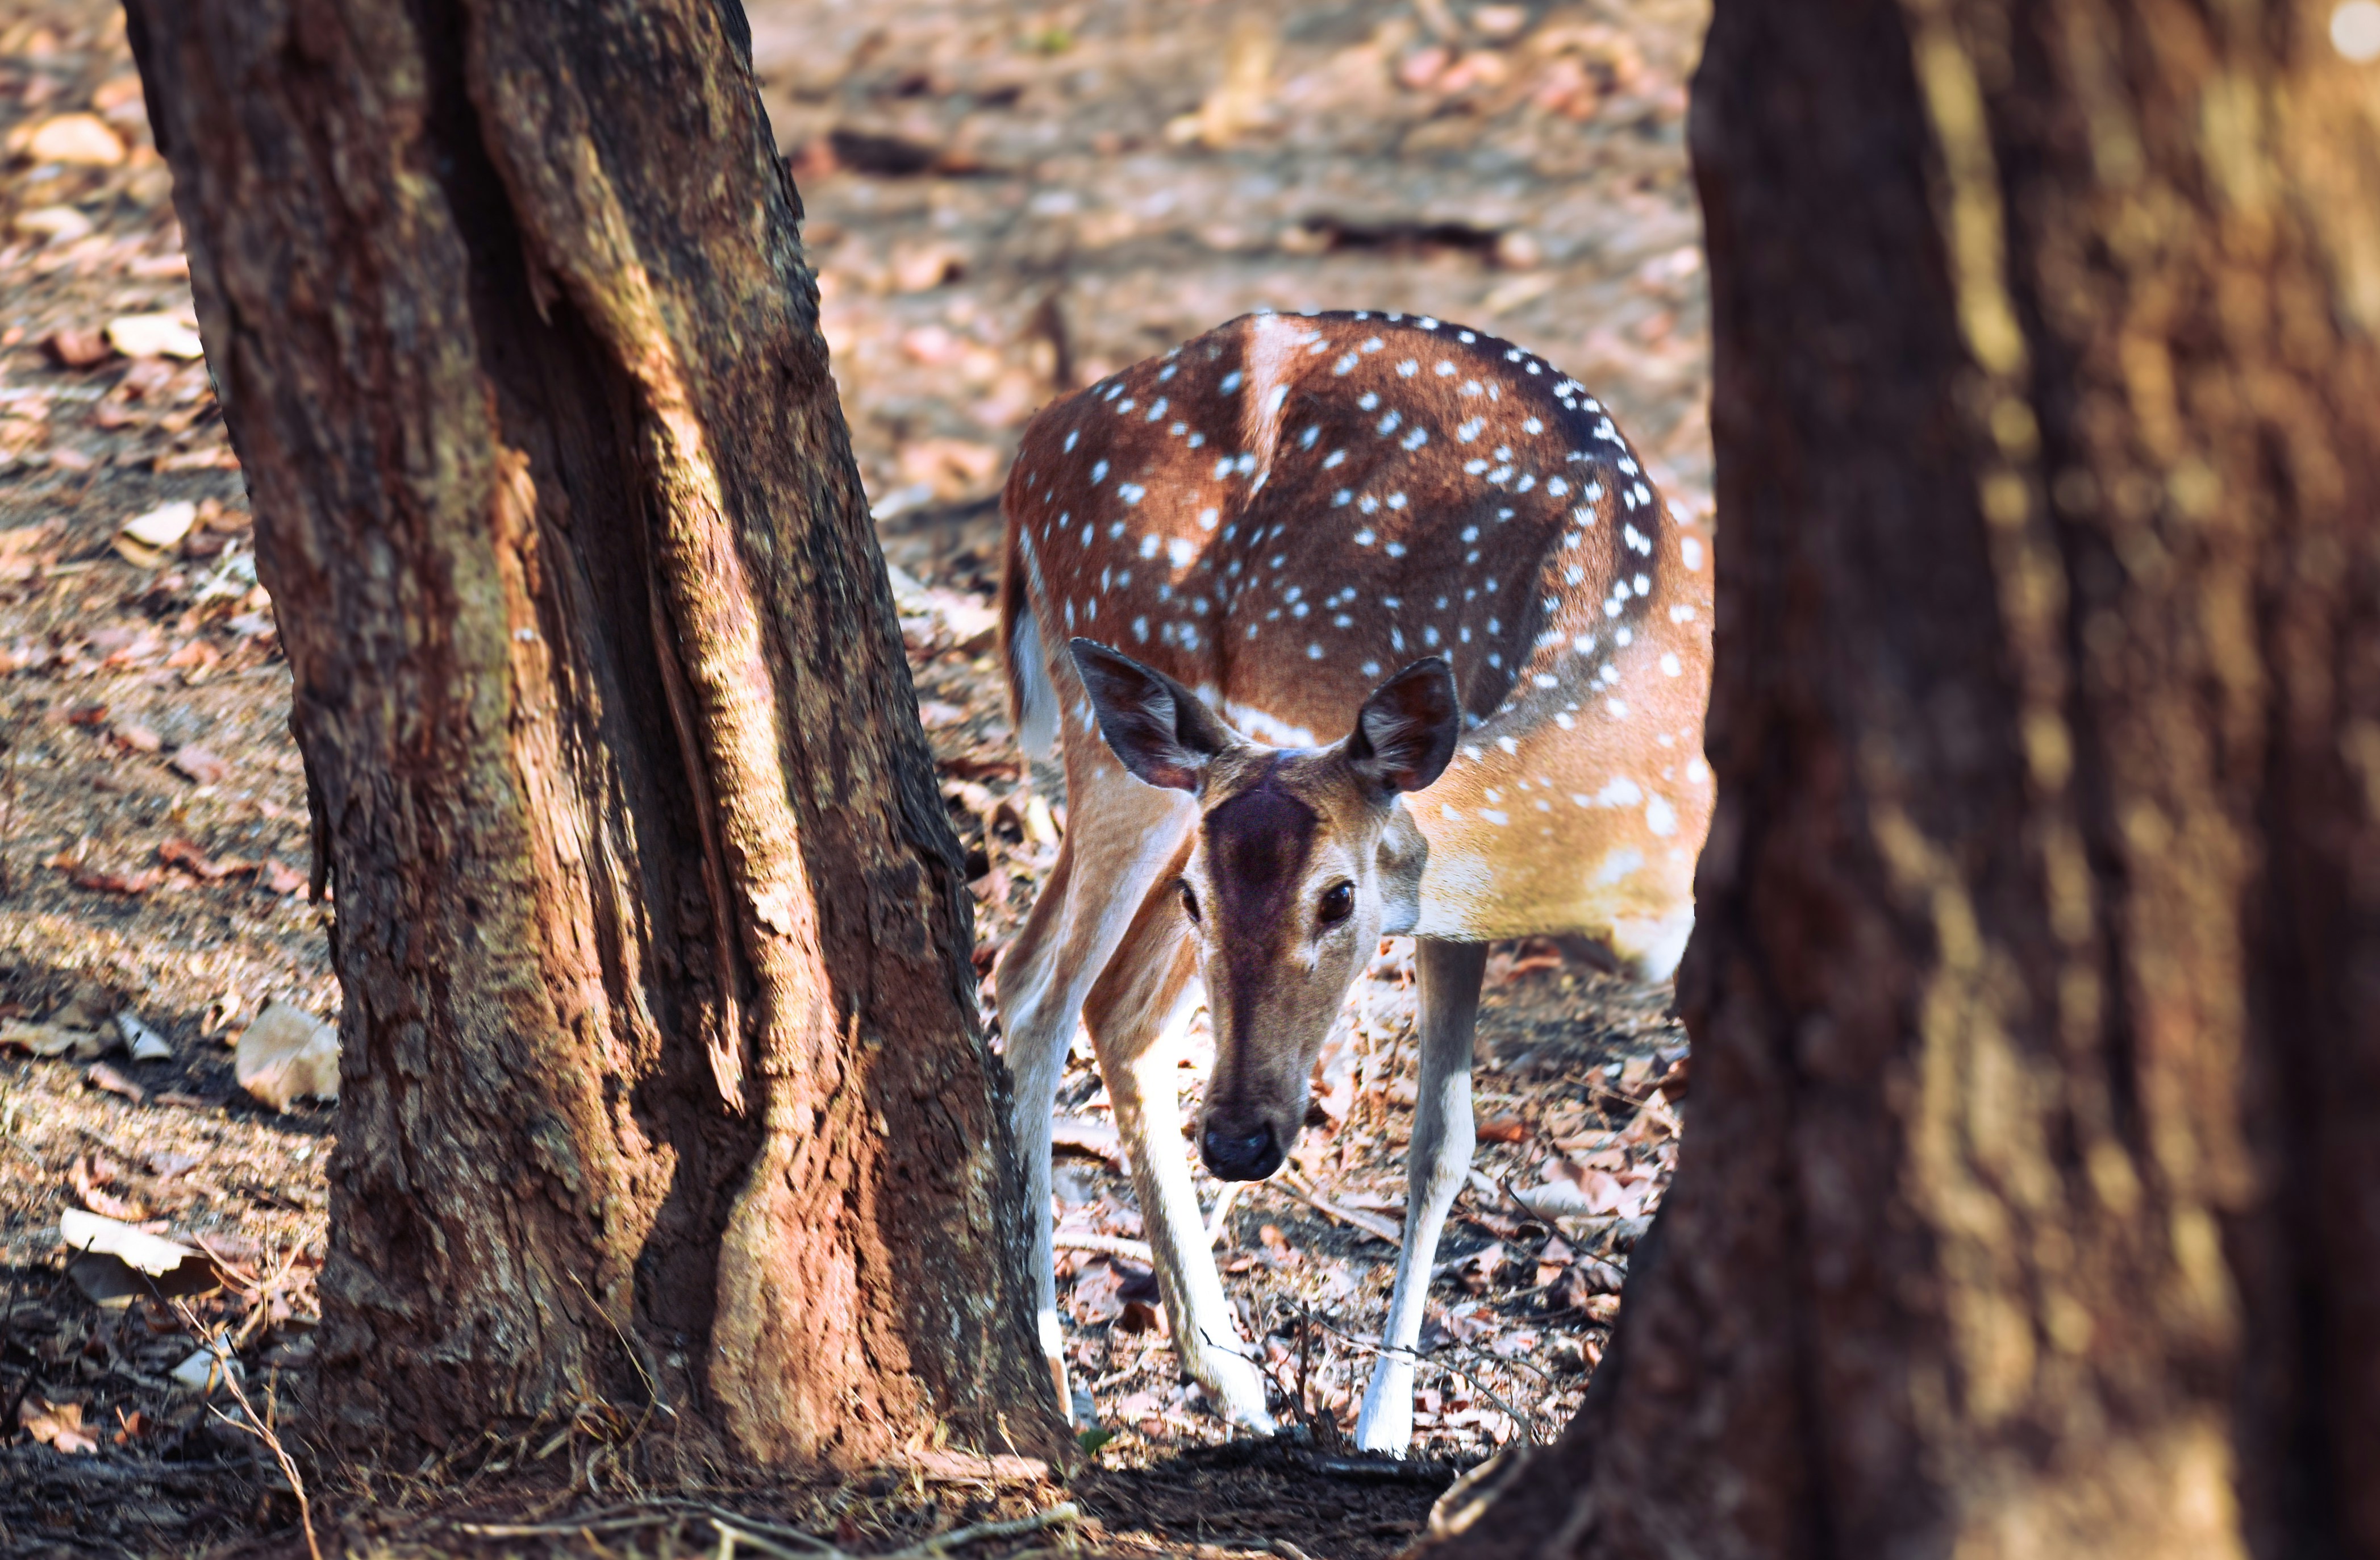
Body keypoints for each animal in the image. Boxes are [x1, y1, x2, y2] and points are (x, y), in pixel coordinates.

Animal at [991, 308, 1713, 1454]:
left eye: (1338, 898)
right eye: (1204, 900)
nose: (1239, 1137)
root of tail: (1029, 456)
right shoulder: (1451, 908)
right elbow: (1441, 1146)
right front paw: (1384, 1430)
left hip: (1178, 766)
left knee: (1108, 1004)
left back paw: (1228, 1377)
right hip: (1120, 726)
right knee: (1036, 993)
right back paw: (1060, 1378)